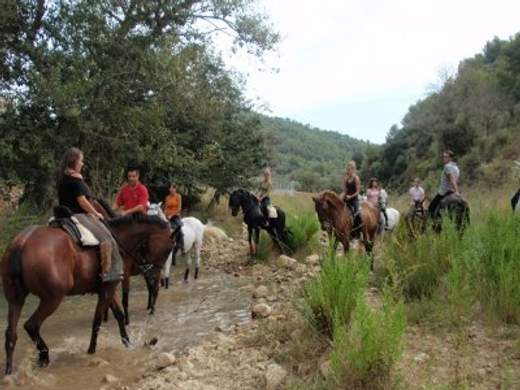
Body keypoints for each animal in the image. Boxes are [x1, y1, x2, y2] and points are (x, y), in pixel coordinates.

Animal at [1, 212, 174, 376]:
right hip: (52, 299)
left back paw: (9, 370)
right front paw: (91, 350)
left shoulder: (108, 288)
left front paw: (127, 343)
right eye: (169, 249)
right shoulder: (107, 290)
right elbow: (97, 320)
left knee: (11, 334)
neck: (118, 239)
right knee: (31, 325)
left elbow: (119, 315)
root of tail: (22, 243)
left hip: (15, 299)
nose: (154, 278)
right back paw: (44, 355)